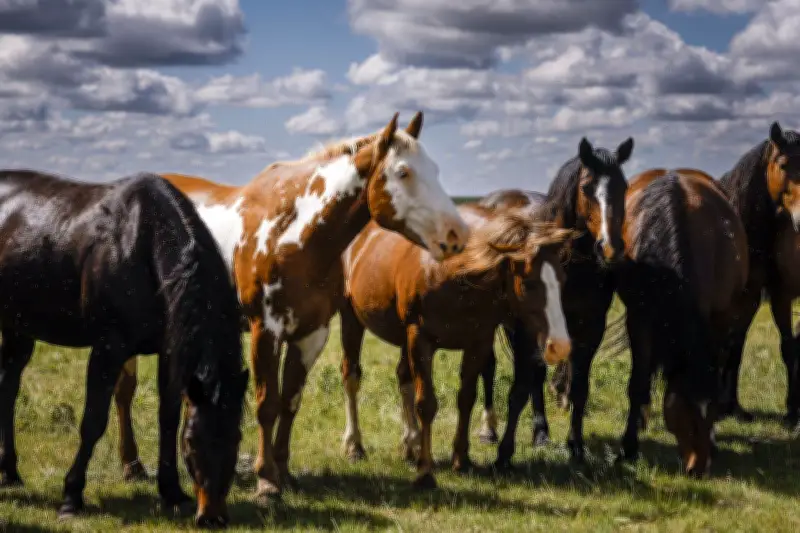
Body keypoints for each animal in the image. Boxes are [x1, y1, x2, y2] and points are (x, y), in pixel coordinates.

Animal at [0, 171, 249, 528]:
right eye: (191, 441)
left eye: (237, 438)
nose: (212, 517)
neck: (142, 245)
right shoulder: (108, 348)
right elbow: (93, 421)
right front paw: (71, 497)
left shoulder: (169, 351)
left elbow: (168, 415)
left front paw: (172, 492)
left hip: (18, 326)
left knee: (9, 386)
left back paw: (9, 472)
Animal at [110, 112, 470, 501]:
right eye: (403, 172)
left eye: (434, 169)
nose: (456, 235)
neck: (294, 235)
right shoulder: (265, 331)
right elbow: (267, 404)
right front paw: (266, 481)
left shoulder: (310, 334)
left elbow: (290, 402)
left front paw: (284, 473)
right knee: (124, 392)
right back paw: (132, 466)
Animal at [338, 203, 575, 487]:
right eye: (528, 283)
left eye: (563, 279)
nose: (560, 345)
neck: (453, 271)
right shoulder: (420, 338)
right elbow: (426, 403)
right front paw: (425, 471)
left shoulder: (478, 342)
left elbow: (466, 398)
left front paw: (461, 460)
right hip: (351, 318)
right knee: (351, 376)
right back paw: (354, 446)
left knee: (403, 377)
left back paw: (411, 444)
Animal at [477, 135, 634, 465]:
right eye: (587, 187)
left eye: (624, 186)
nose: (610, 248)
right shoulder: (525, 328)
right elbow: (519, 388)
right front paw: (504, 453)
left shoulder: (591, 328)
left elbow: (579, 388)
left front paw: (576, 447)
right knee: (492, 367)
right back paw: (490, 431)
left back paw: (541, 433)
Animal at [615, 169, 748, 475]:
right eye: (683, 411)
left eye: (712, 411)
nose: (698, 469)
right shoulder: (639, 319)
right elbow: (637, 382)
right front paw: (628, 447)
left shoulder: (718, 319)